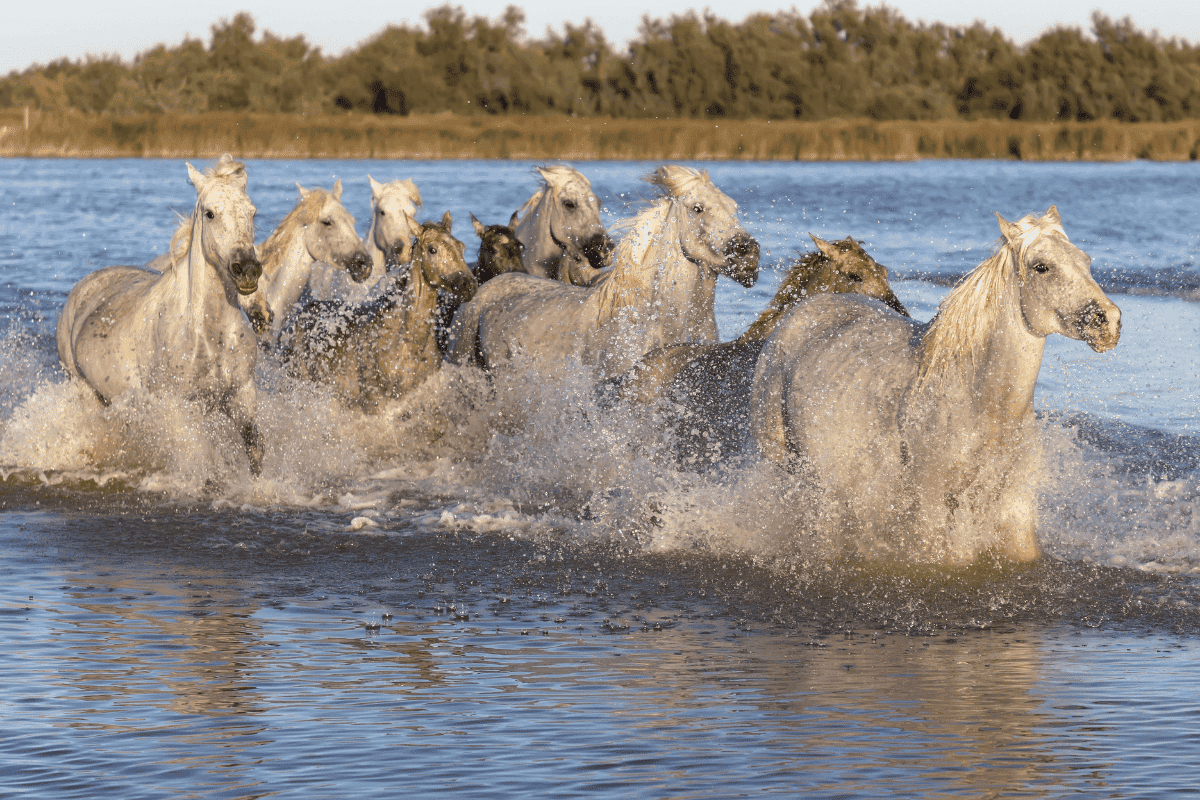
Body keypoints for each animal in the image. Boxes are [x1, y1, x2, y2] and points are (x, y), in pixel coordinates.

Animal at [55, 154, 266, 474]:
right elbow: (201, 459)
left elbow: (255, 450)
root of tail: (83, 287)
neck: (208, 334)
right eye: (210, 214)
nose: (247, 270)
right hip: (83, 390)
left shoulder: (242, 394)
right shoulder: (181, 407)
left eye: (252, 212)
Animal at [750, 207, 1122, 565]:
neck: (981, 400)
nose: (1108, 322)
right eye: (1041, 267)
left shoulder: (1014, 507)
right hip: (786, 466)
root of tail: (802, 311)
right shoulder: (931, 506)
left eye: (1085, 260)